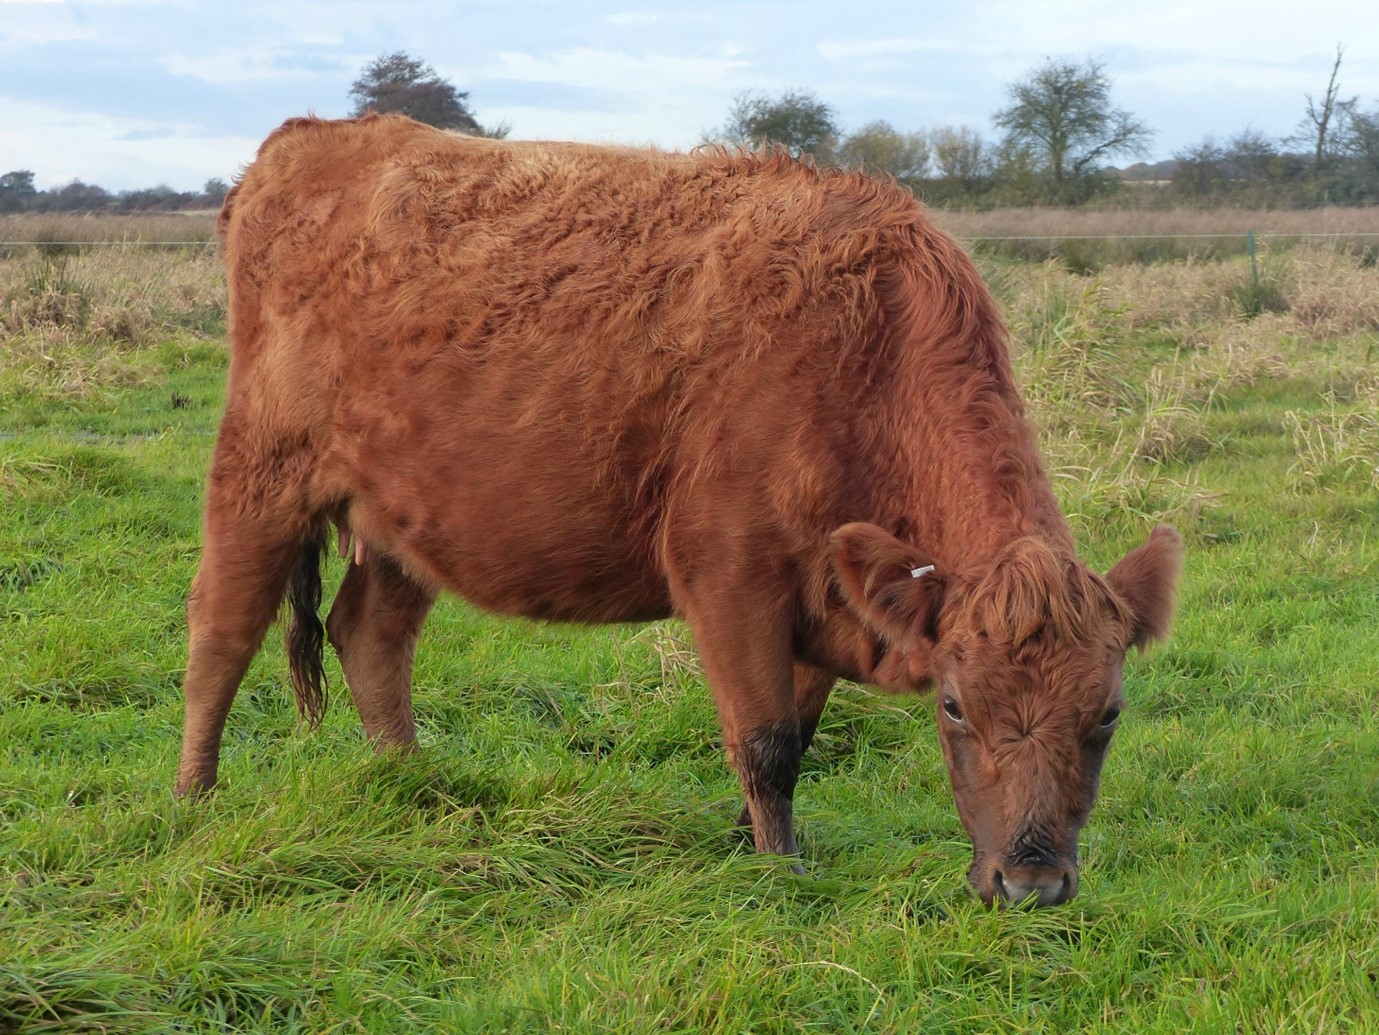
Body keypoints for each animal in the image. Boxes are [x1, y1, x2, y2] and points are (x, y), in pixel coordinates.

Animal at [177, 115, 1180, 904]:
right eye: (955, 706)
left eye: (1105, 715)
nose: (1031, 881)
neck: (863, 355)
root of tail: (309, 140)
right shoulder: (728, 574)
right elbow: (767, 742)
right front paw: (780, 874)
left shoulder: (817, 597)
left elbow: (793, 732)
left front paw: (748, 841)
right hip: (259, 476)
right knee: (221, 632)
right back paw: (194, 800)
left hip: (401, 517)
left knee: (369, 633)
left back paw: (410, 782)